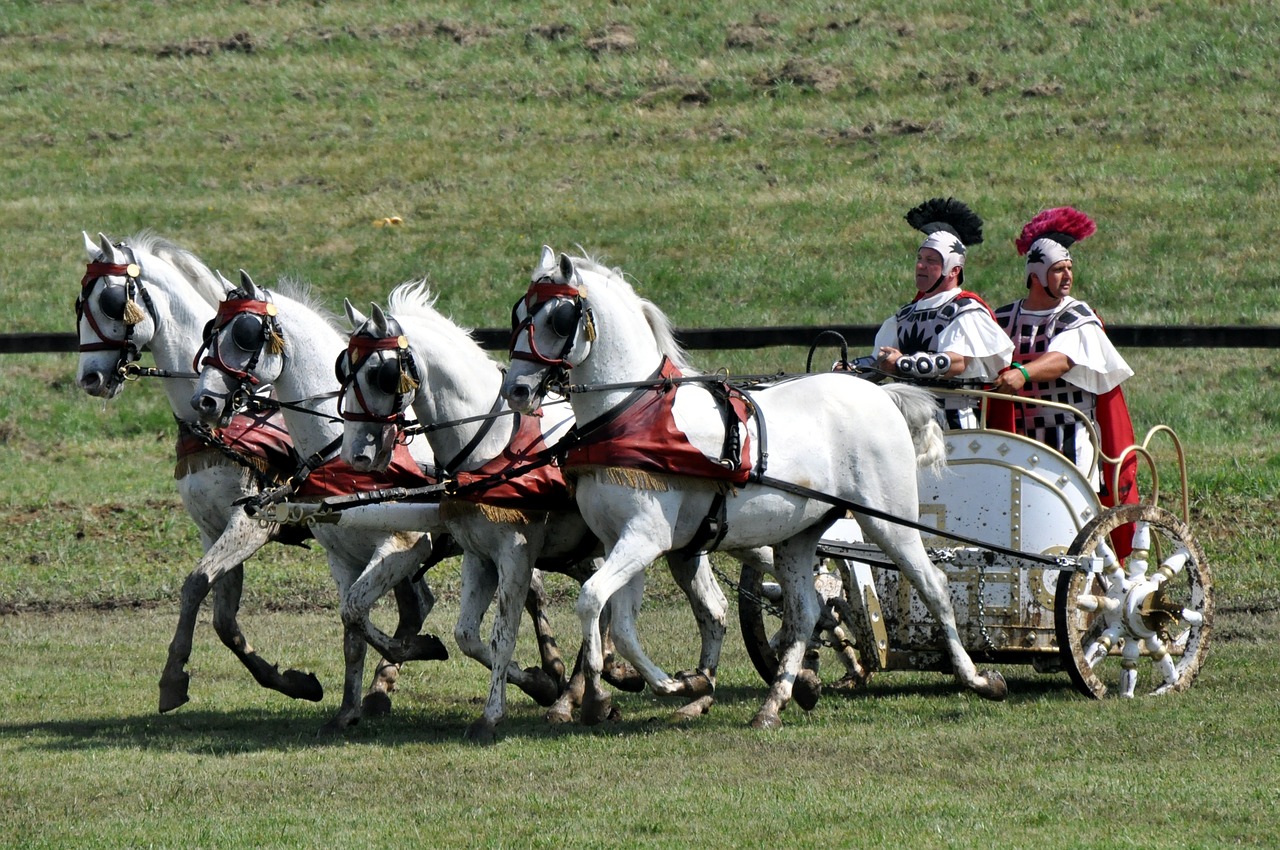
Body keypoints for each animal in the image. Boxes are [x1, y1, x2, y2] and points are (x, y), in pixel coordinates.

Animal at [76, 230, 430, 711]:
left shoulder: (250, 523)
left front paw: (173, 676)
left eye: (111, 302)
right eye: (80, 303)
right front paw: (292, 682)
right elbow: (222, 617)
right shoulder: (212, 528)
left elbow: (195, 584)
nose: (90, 378)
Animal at [337, 281, 742, 742]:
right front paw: (539, 682)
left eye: (380, 374)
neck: (491, 444)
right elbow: (466, 636)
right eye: (342, 370)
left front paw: (494, 714)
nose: (356, 454)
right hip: (678, 546)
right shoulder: (478, 555)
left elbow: (503, 633)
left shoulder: (516, 553)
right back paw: (677, 691)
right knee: (709, 609)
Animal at [501, 245, 1008, 732]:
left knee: (933, 585)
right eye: (519, 313)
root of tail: (879, 393)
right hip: (798, 536)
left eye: (558, 318)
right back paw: (775, 702)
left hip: (888, 521)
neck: (630, 414)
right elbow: (620, 624)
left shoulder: (645, 538)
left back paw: (978, 679)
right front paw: (671, 686)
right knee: (805, 612)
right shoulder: (621, 541)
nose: (517, 392)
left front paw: (627, 692)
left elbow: (592, 601)